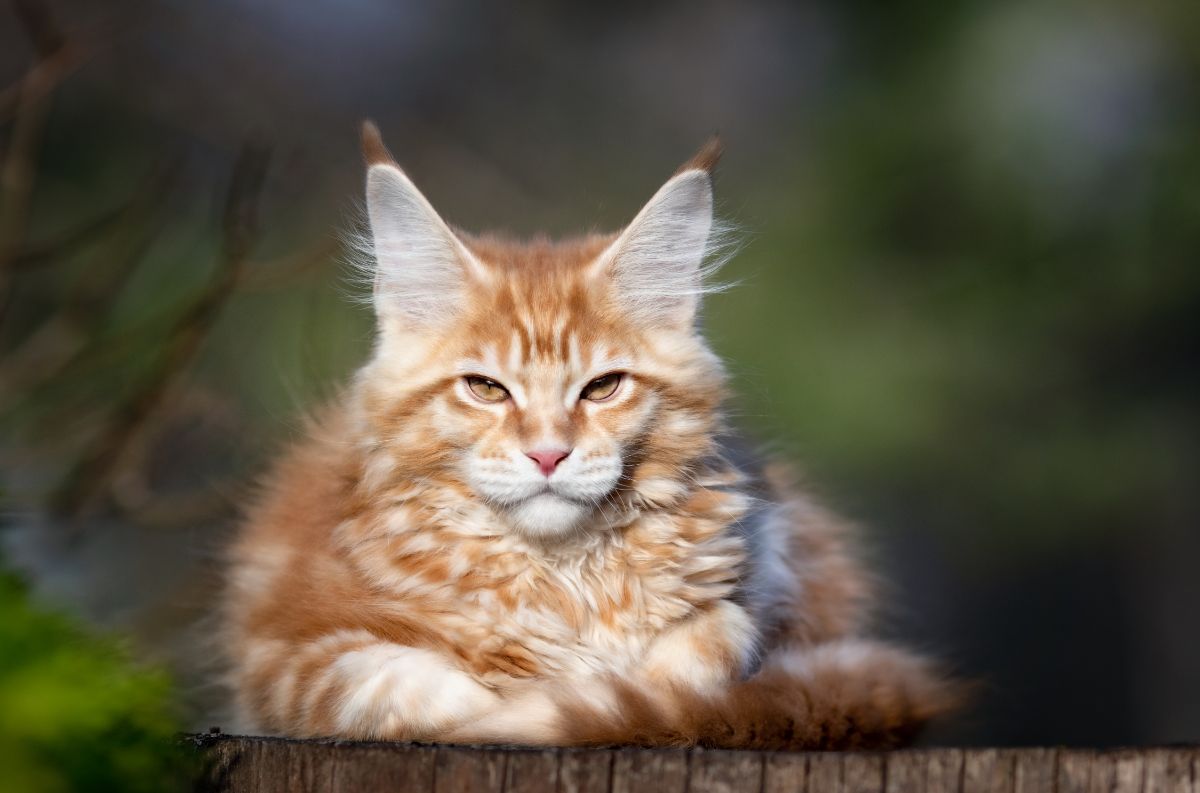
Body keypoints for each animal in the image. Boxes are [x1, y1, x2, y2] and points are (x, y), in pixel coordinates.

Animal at [220, 120, 960, 743]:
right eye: (486, 388)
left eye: (602, 387)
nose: (548, 453)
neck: (563, 580)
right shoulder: (284, 655)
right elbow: (412, 689)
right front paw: (526, 695)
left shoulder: (752, 584)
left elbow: (712, 647)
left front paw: (605, 691)